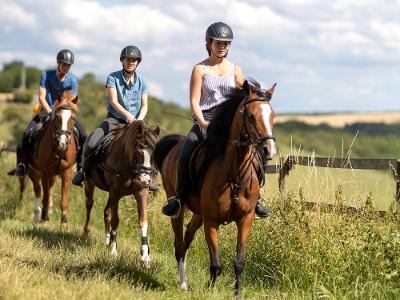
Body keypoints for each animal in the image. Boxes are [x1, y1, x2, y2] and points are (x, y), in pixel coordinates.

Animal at [19, 91, 80, 227]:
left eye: (73, 118)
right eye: (57, 117)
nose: (62, 143)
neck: (58, 150)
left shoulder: (66, 172)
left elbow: (63, 199)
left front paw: (64, 223)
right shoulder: (44, 173)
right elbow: (45, 197)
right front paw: (44, 218)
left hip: (53, 175)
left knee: (49, 189)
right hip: (33, 172)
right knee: (38, 191)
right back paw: (37, 215)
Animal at [83, 119, 159, 268]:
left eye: (155, 153)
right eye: (138, 151)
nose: (145, 179)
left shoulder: (141, 192)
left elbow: (143, 221)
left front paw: (145, 257)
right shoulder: (116, 192)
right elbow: (116, 220)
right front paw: (113, 250)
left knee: (106, 212)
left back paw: (107, 239)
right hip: (91, 183)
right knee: (90, 204)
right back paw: (87, 232)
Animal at [152, 80, 276, 298]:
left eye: (272, 116)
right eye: (251, 116)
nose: (269, 150)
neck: (235, 175)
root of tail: (175, 143)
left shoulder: (246, 220)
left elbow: (239, 262)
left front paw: (237, 293)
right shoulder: (211, 222)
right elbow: (216, 264)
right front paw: (209, 289)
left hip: (198, 213)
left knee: (187, 237)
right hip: (178, 207)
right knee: (179, 244)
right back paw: (183, 283)